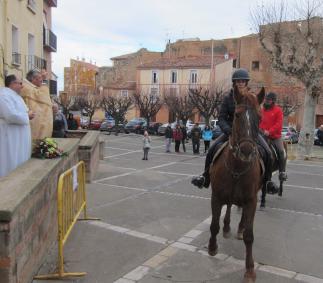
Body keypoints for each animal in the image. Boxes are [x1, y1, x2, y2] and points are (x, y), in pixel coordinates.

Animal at [210, 85, 266, 282]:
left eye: (260, 117)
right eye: (236, 115)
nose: (247, 151)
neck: (236, 168)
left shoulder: (251, 201)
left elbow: (250, 236)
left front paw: (249, 270)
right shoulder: (216, 196)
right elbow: (214, 225)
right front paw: (212, 247)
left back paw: (238, 228)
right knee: (228, 207)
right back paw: (227, 227)